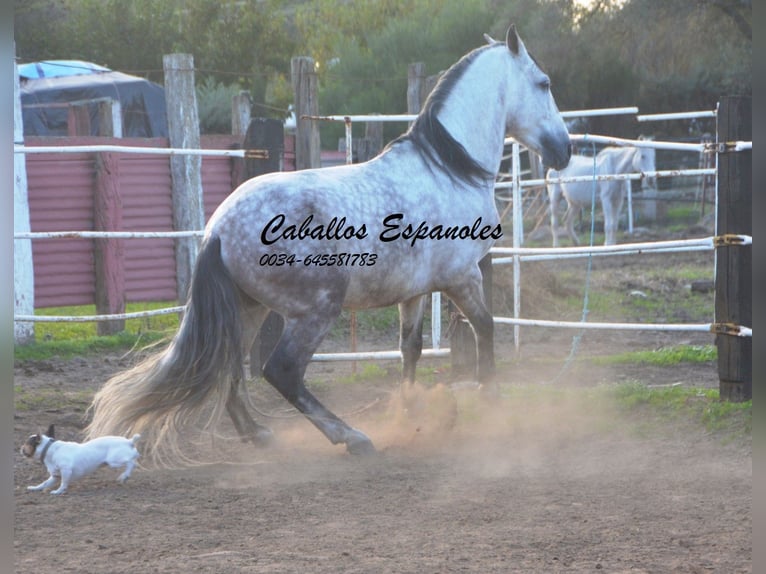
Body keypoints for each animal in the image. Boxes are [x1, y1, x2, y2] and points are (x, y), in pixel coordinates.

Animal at [87, 25, 572, 464]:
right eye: (544, 83)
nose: (564, 151)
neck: (449, 169)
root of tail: (220, 230)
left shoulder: (415, 292)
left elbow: (411, 349)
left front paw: (410, 412)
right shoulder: (461, 278)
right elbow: (486, 328)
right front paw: (492, 404)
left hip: (249, 308)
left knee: (232, 365)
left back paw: (259, 435)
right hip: (316, 309)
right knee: (281, 371)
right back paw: (351, 438)